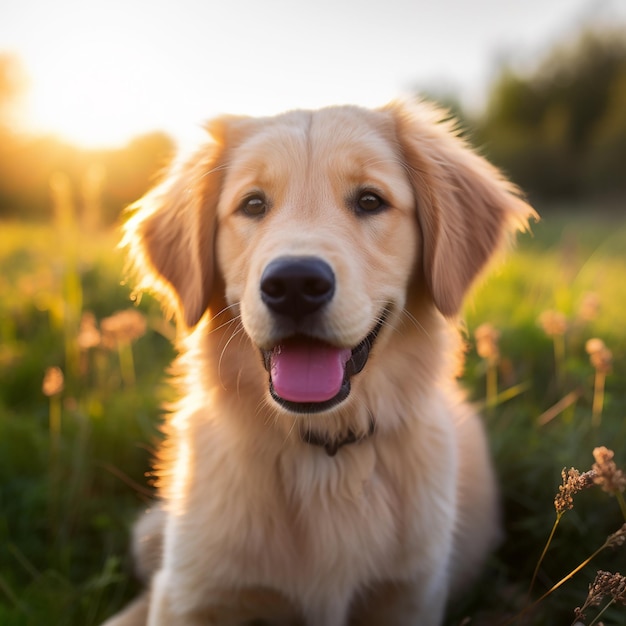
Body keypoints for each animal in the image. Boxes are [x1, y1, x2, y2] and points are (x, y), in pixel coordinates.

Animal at [102, 98, 532, 624]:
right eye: (253, 205)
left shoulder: (407, 596)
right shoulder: (191, 596)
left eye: (370, 201)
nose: (294, 284)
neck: (325, 457)